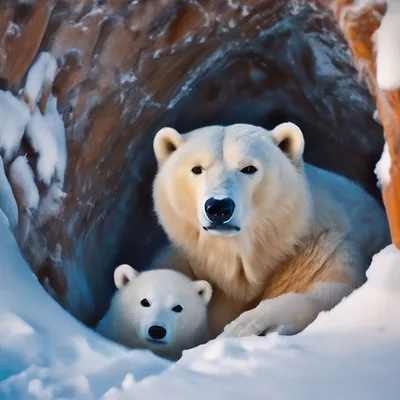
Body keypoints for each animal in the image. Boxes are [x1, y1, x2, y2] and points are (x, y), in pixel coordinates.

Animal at [152, 121, 390, 338]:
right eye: (197, 169)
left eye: (249, 168)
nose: (218, 207)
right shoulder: (188, 262)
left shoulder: (319, 246)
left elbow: (329, 288)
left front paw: (245, 326)